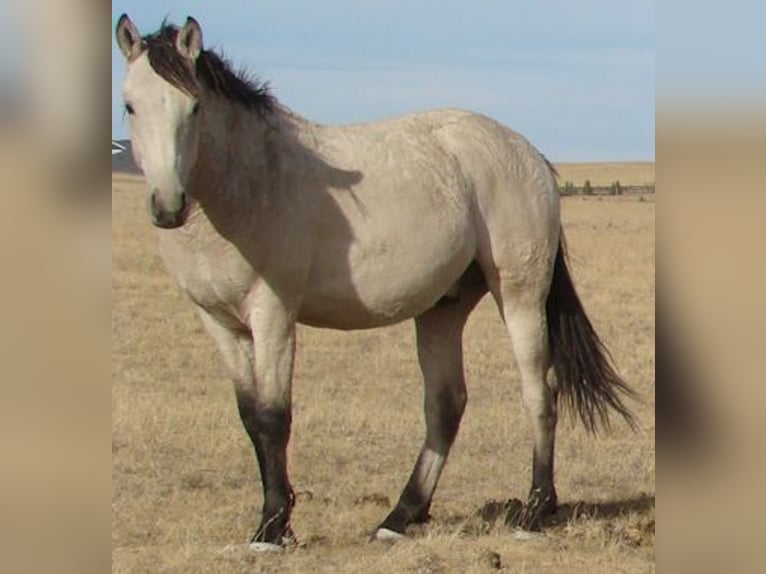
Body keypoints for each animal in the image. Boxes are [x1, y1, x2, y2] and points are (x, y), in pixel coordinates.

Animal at [117, 14, 640, 552]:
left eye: (194, 106)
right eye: (129, 105)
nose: (168, 206)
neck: (247, 184)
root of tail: (528, 152)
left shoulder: (274, 315)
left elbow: (274, 416)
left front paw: (273, 527)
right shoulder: (218, 322)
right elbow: (250, 417)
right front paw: (274, 523)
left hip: (519, 296)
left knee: (539, 392)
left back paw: (534, 510)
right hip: (443, 308)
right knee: (446, 404)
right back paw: (400, 516)